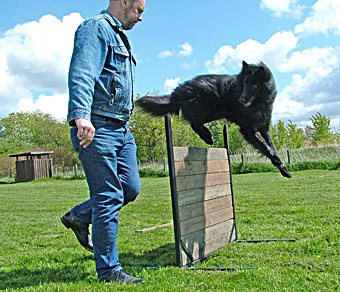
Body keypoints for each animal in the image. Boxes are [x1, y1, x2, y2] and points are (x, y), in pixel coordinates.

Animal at [137, 60, 290, 177]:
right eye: (244, 84)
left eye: (254, 84)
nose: (241, 100)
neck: (258, 103)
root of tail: (177, 92)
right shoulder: (248, 130)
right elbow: (268, 149)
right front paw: (281, 166)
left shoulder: (264, 129)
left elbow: (271, 147)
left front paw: (283, 169)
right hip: (208, 111)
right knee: (194, 124)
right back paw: (207, 137)